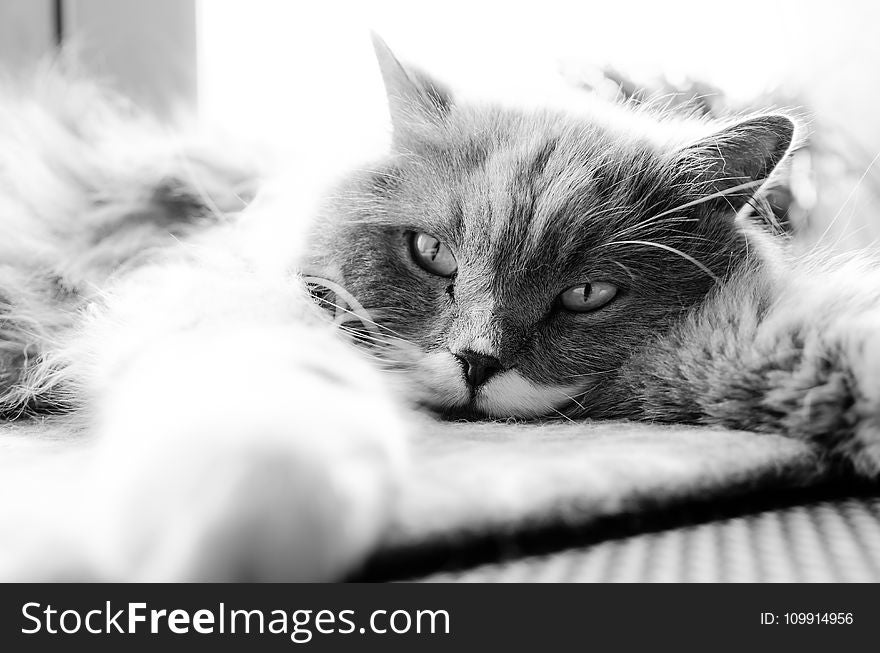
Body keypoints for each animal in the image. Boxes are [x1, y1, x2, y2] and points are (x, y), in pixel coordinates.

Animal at [0, 37, 876, 580]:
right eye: (433, 254)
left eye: (587, 294)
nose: (477, 362)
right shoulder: (208, 284)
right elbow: (276, 412)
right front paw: (238, 539)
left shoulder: (722, 338)